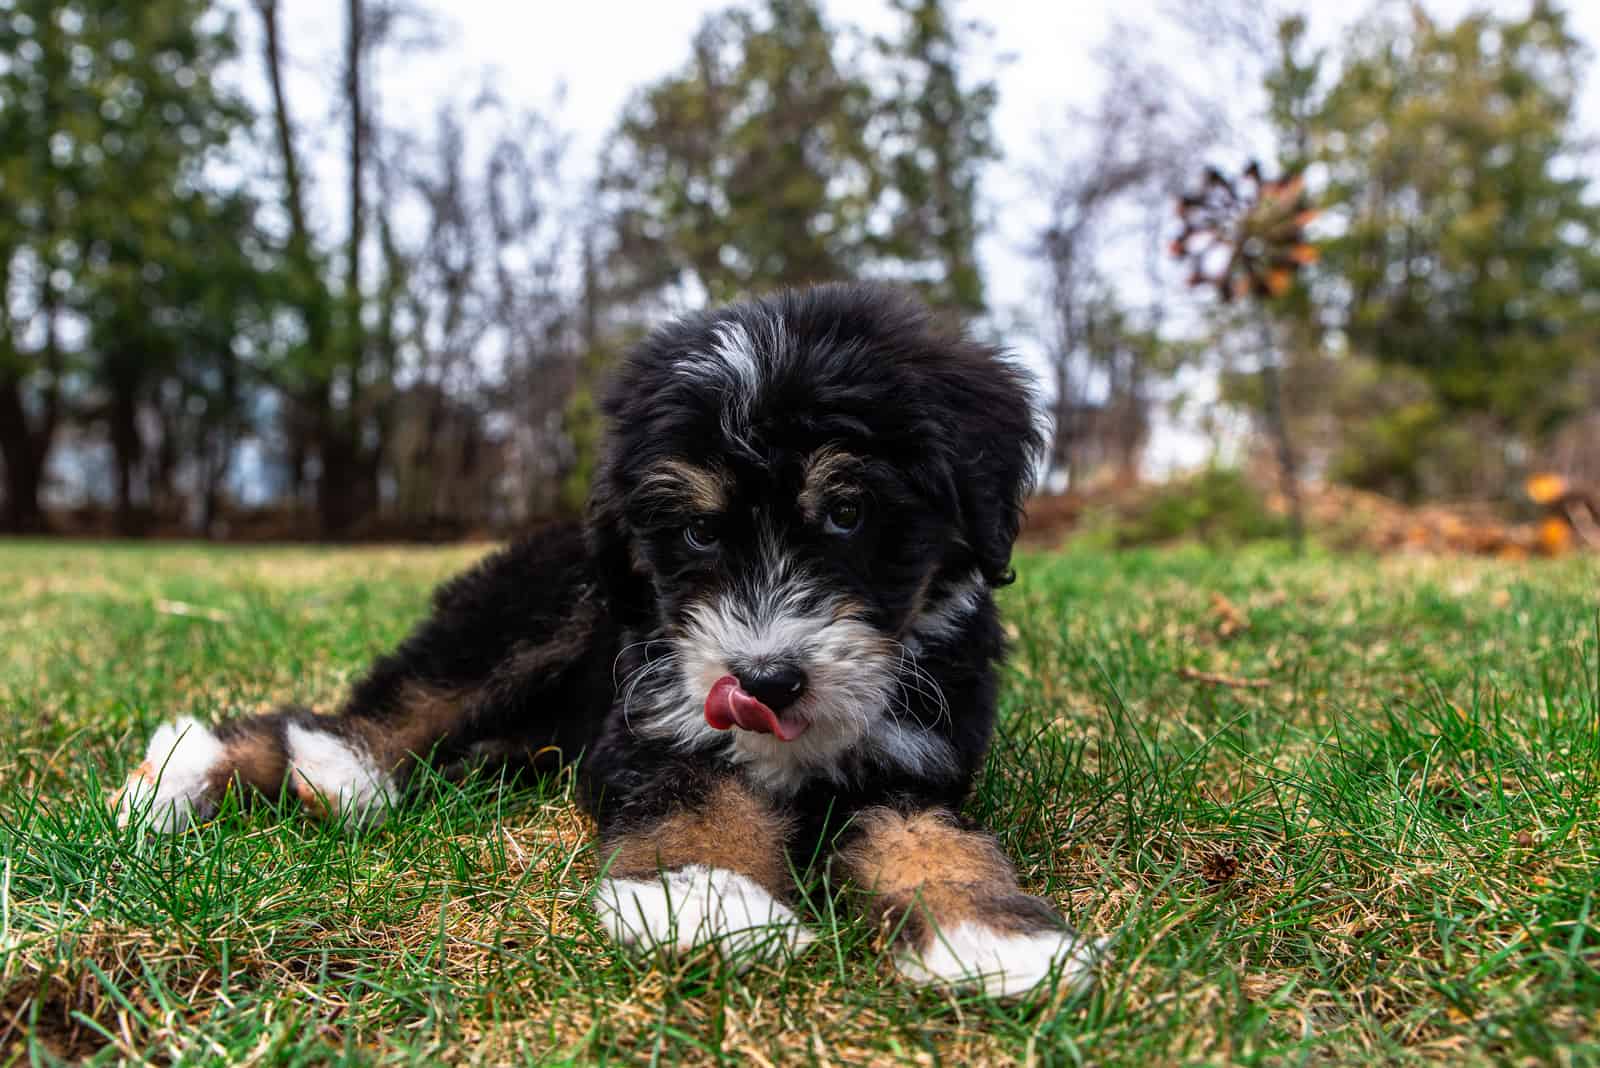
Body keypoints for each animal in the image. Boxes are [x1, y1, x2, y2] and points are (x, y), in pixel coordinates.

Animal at [116, 281, 1100, 991]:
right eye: (698, 533)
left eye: (849, 513)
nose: (766, 681)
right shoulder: (655, 719)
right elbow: (697, 793)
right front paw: (705, 900)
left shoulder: (915, 759)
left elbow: (932, 836)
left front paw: (992, 933)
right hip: (539, 611)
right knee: (379, 707)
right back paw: (225, 771)